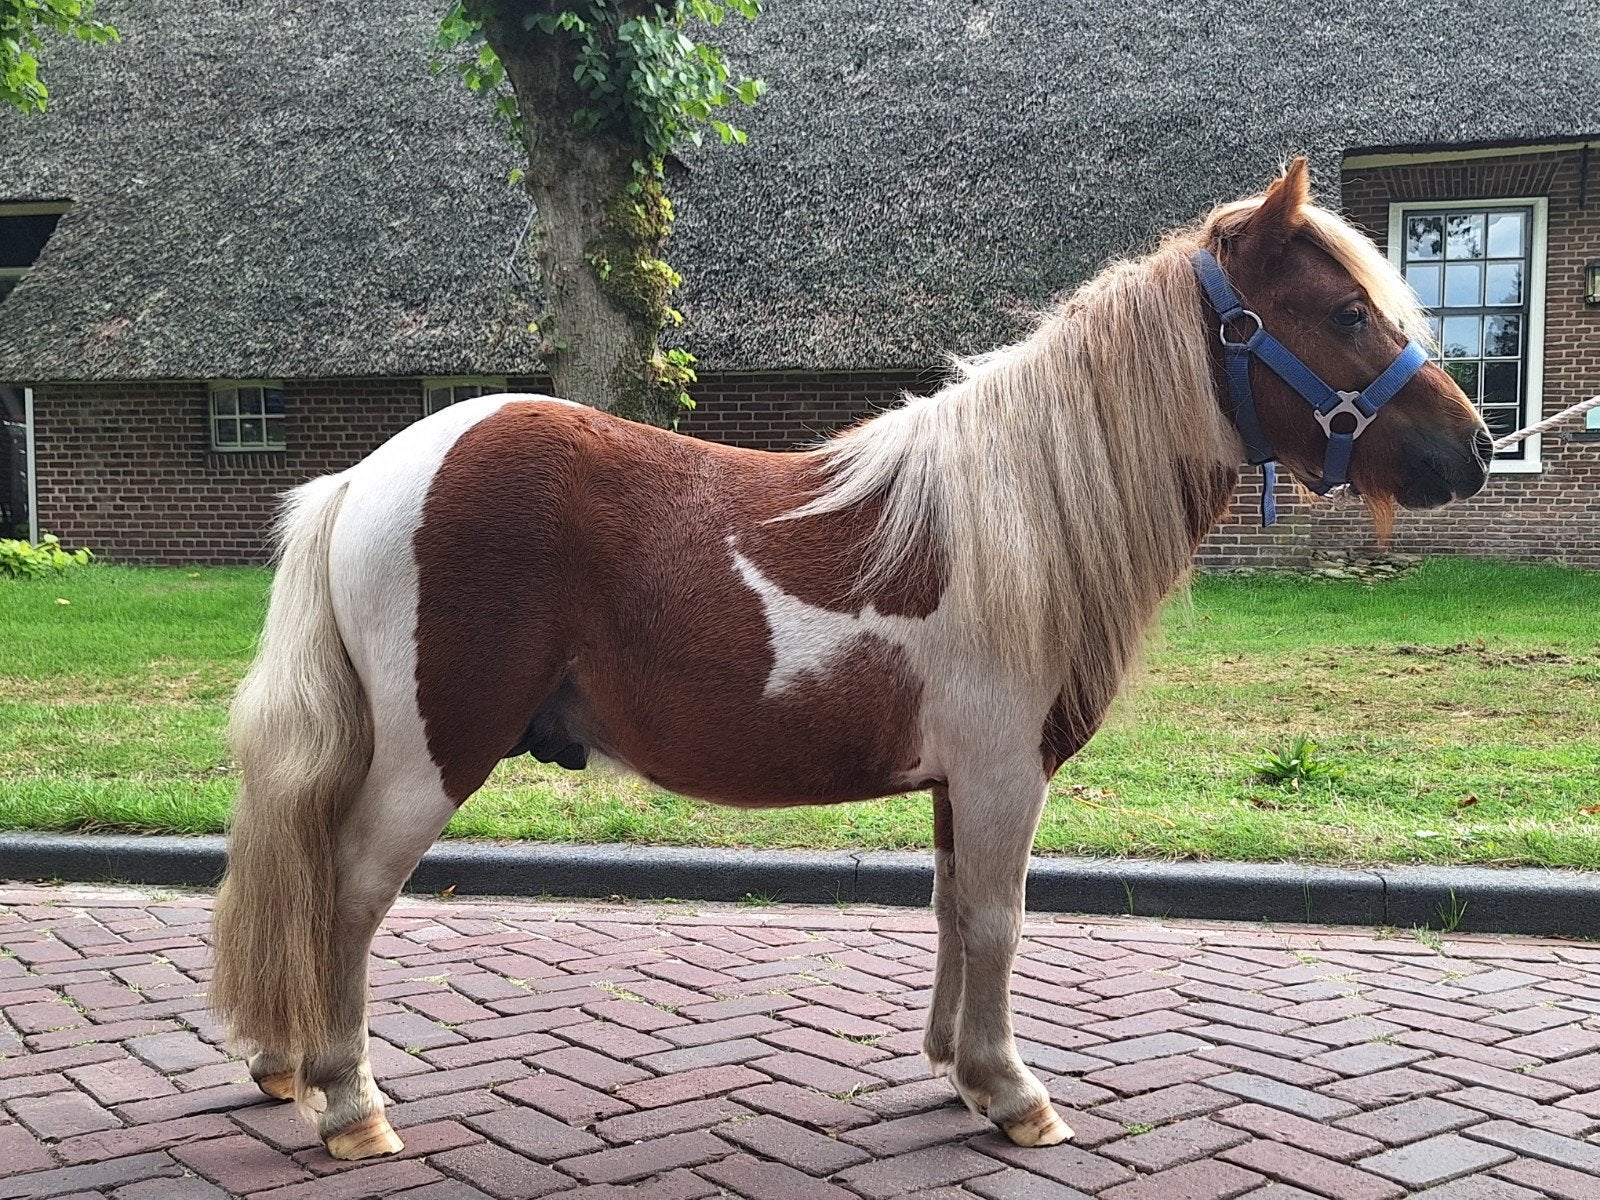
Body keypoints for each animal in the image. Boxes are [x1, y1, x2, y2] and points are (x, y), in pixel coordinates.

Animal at [210, 158, 1490, 1160]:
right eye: (1344, 313)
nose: (1473, 448)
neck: (1020, 513)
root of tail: (367, 476)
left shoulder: (959, 785)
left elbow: (951, 908)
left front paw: (958, 1070)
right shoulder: (1001, 774)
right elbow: (998, 918)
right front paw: (1014, 1094)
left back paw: (288, 1067)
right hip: (433, 756)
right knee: (349, 889)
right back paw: (350, 1102)